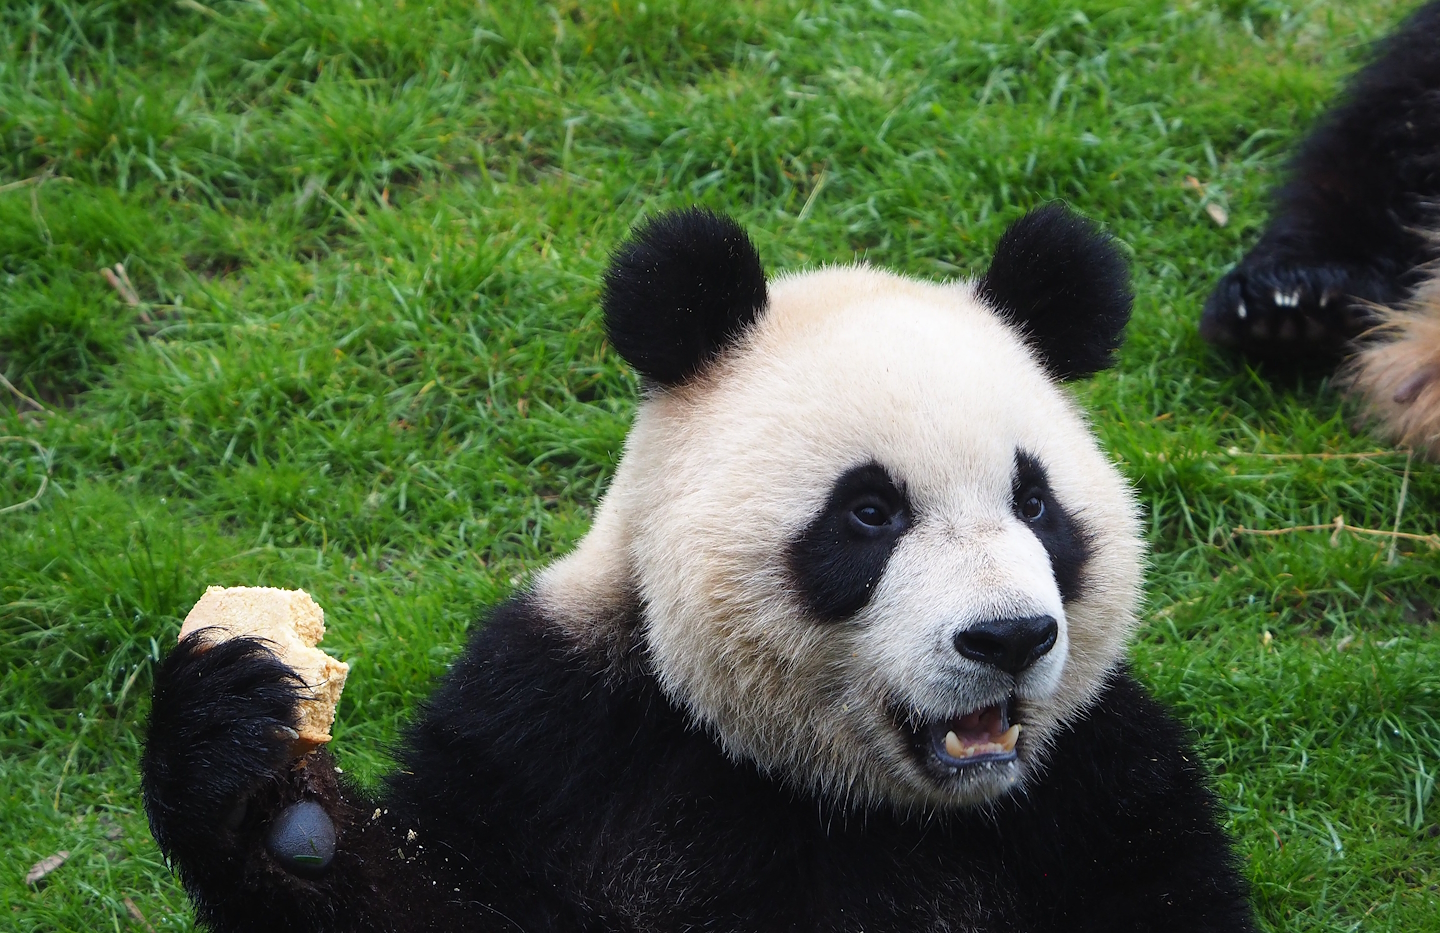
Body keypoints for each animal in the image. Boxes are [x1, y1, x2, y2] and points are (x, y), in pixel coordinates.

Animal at [142, 205, 1257, 932]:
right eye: (869, 512)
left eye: (1035, 504)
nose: (1009, 637)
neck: (840, 793)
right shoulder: (559, 739)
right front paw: (255, 774)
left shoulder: (1102, 788)